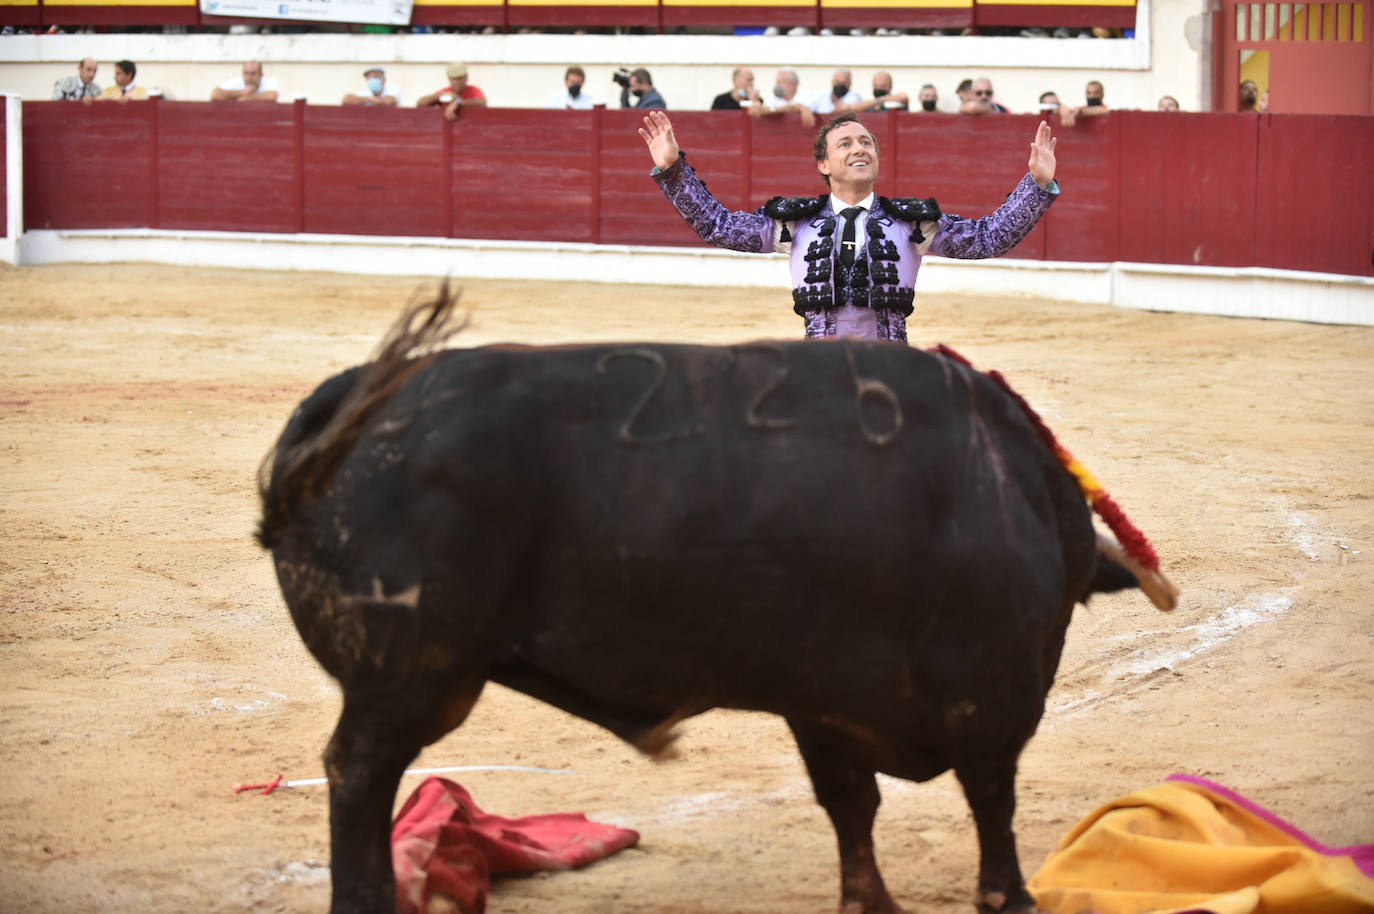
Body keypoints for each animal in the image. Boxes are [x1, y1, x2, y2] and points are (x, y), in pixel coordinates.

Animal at [258, 294, 1137, 912]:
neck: (1020, 492)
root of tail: (352, 400)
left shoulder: (822, 698)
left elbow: (853, 803)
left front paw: (872, 903)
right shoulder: (991, 690)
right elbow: (991, 798)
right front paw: (1012, 897)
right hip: (413, 673)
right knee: (359, 771)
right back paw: (365, 898)